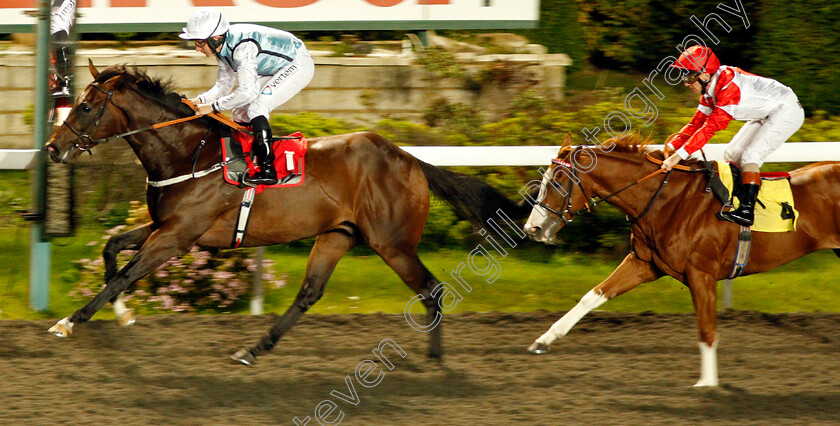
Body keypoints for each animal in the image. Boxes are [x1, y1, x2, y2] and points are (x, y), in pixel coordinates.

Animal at [46, 64, 524, 366]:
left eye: (85, 107)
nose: (52, 148)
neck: (188, 153)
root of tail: (411, 160)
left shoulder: (177, 236)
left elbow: (125, 273)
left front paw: (69, 322)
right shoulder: (167, 226)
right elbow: (112, 249)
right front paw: (123, 315)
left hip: (393, 243)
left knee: (432, 290)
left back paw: (436, 363)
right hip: (337, 234)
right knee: (309, 293)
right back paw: (253, 349)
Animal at [520, 135, 840, 388]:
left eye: (557, 181)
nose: (532, 228)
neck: (667, 199)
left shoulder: (701, 273)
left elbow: (706, 329)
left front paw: (707, 384)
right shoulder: (644, 262)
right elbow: (593, 295)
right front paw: (543, 340)